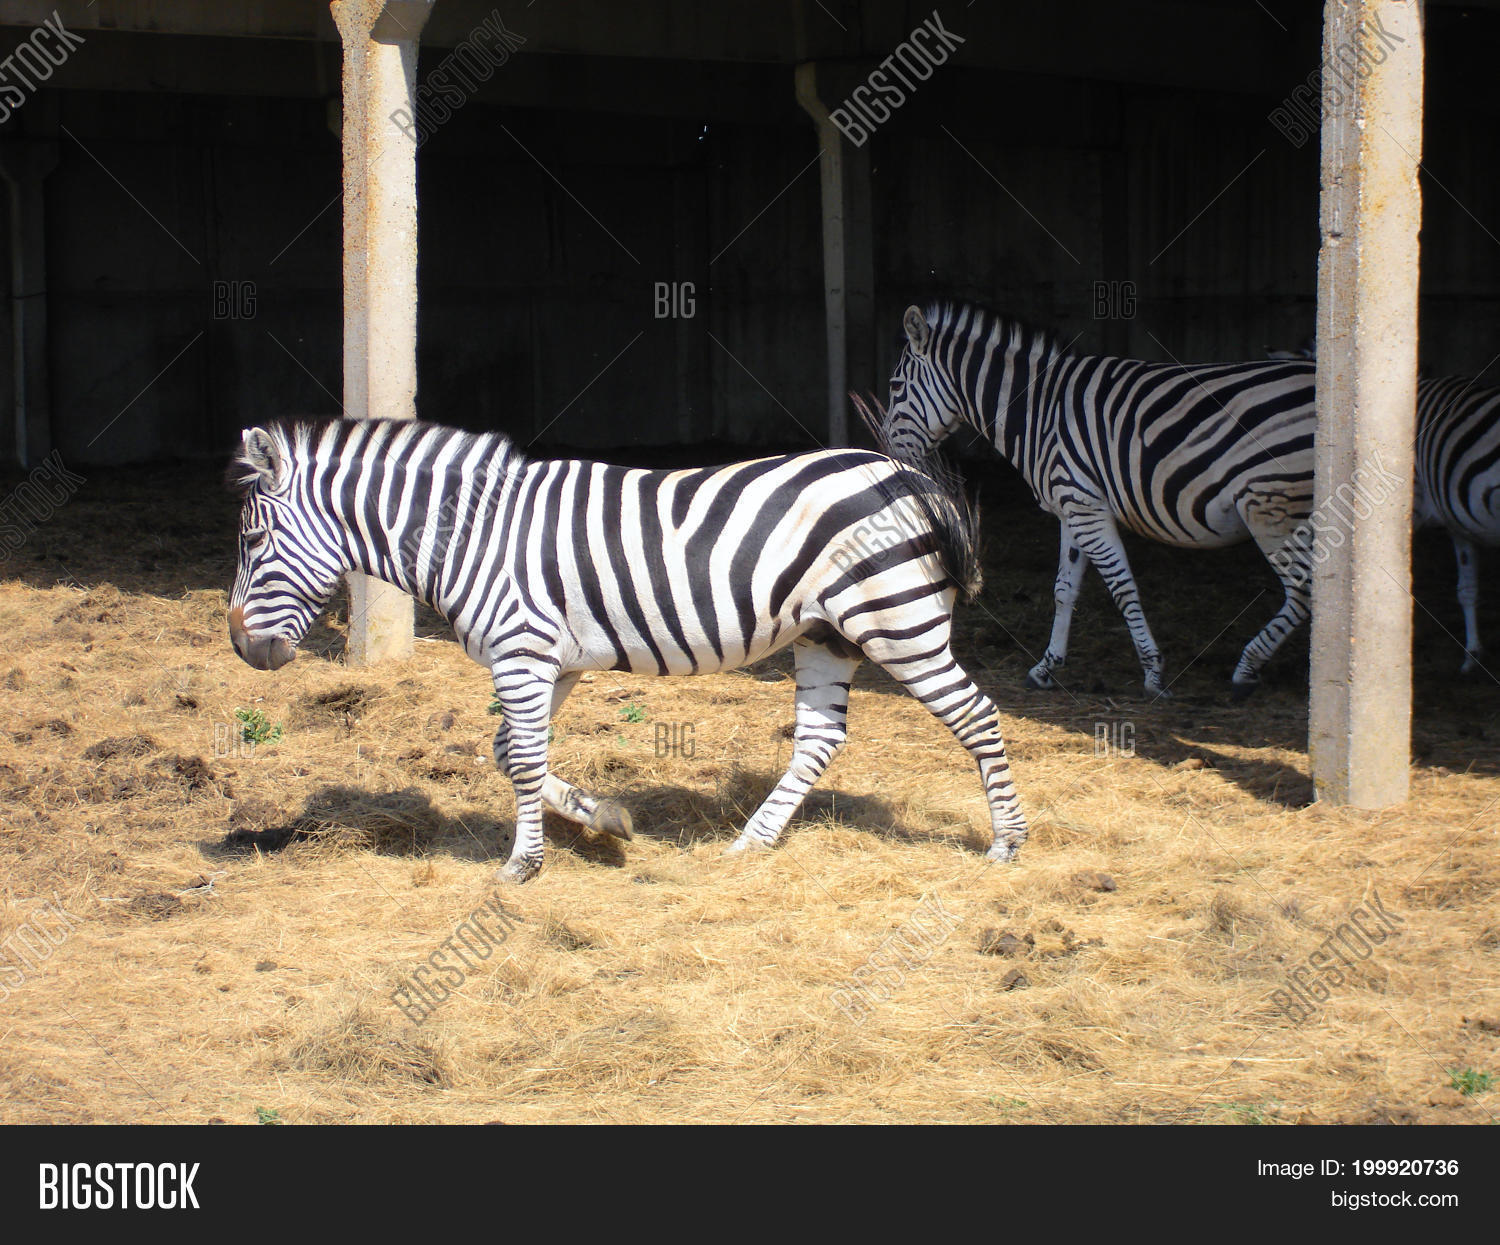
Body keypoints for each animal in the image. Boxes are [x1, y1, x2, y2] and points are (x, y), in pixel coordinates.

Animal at [226, 417, 1029, 883]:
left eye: (254, 539)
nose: (239, 644)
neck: (471, 532)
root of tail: (908, 476)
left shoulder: (522, 652)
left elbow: (521, 759)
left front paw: (522, 866)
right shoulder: (551, 660)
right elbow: (510, 752)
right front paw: (603, 819)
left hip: (896, 620)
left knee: (979, 715)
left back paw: (1008, 843)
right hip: (826, 631)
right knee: (819, 737)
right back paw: (753, 841)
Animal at [880, 301, 1317, 699]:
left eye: (895, 386)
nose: (888, 453)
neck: (1038, 409)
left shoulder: (1085, 506)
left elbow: (1121, 587)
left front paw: (1153, 674)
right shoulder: (1072, 508)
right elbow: (1064, 588)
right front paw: (1046, 667)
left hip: (1271, 507)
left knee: (1303, 589)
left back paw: (1248, 668)